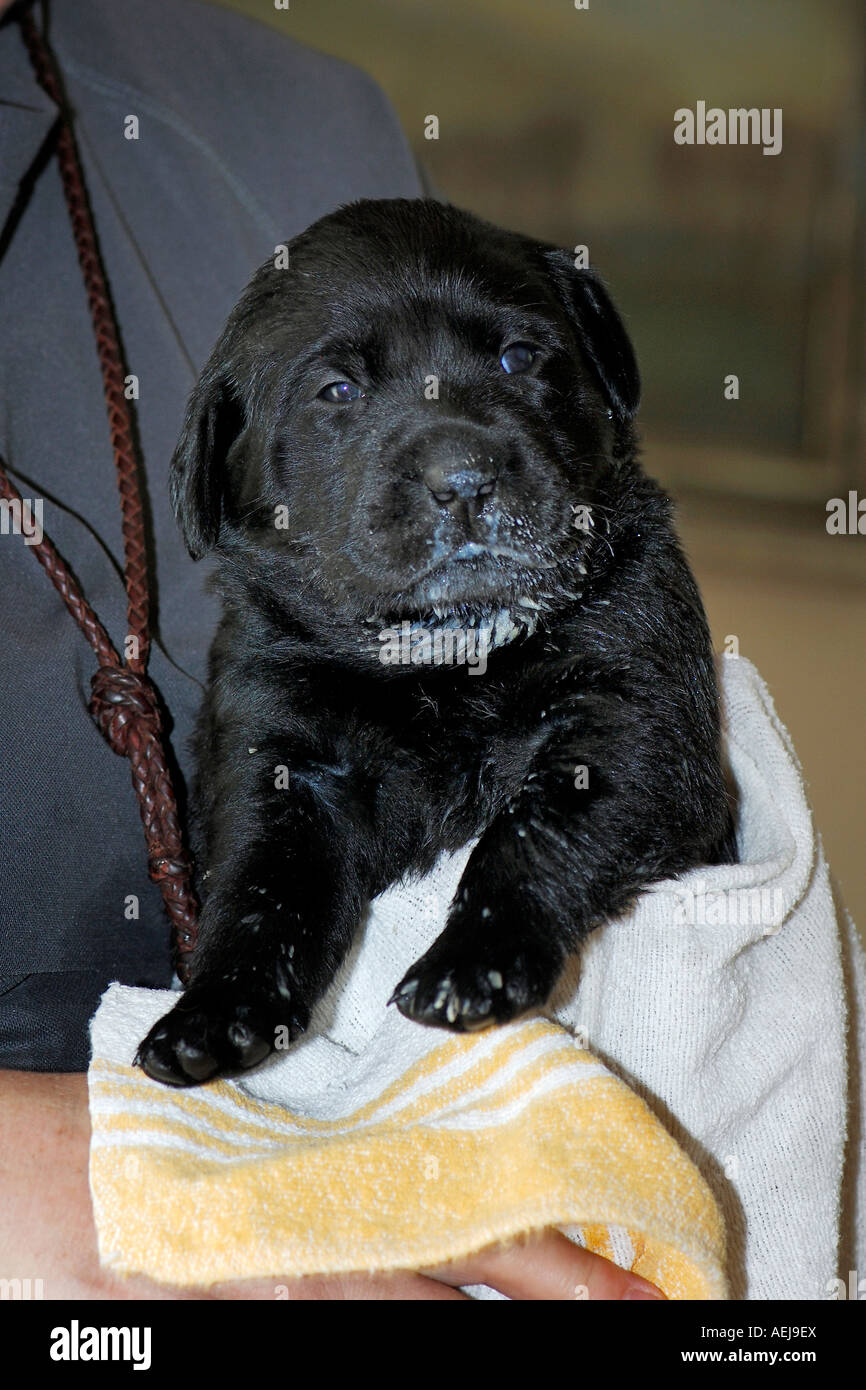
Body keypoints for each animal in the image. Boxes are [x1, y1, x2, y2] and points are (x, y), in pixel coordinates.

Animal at [134, 195, 733, 1084]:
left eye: (520, 357)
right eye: (338, 389)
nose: (463, 477)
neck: (446, 658)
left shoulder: (634, 719)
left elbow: (531, 831)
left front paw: (472, 962)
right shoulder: (276, 752)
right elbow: (258, 890)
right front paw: (213, 1011)